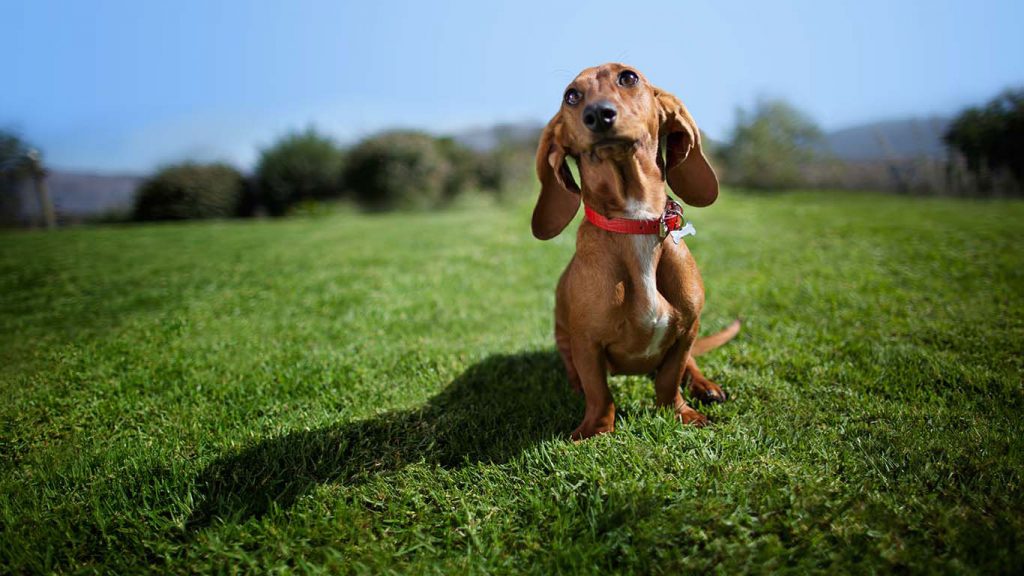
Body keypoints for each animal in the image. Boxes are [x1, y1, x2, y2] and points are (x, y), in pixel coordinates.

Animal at [532, 62, 741, 436]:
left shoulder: (687, 331)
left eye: (628, 77)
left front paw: (680, 412)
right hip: (564, 339)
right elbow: (599, 394)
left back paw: (704, 386)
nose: (598, 114)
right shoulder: (586, 343)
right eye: (571, 96)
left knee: (691, 364)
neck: (635, 221)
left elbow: (670, 380)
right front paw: (594, 430)